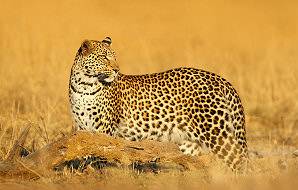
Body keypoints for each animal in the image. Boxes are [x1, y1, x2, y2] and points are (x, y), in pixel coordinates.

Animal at [68, 36, 248, 171]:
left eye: (115, 57)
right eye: (103, 57)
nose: (116, 70)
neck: (84, 86)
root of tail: (221, 80)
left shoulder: (105, 129)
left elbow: (101, 153)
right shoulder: (82, 128)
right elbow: (85, 152)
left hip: (215, 131)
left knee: (239, 160)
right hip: (189, 141)